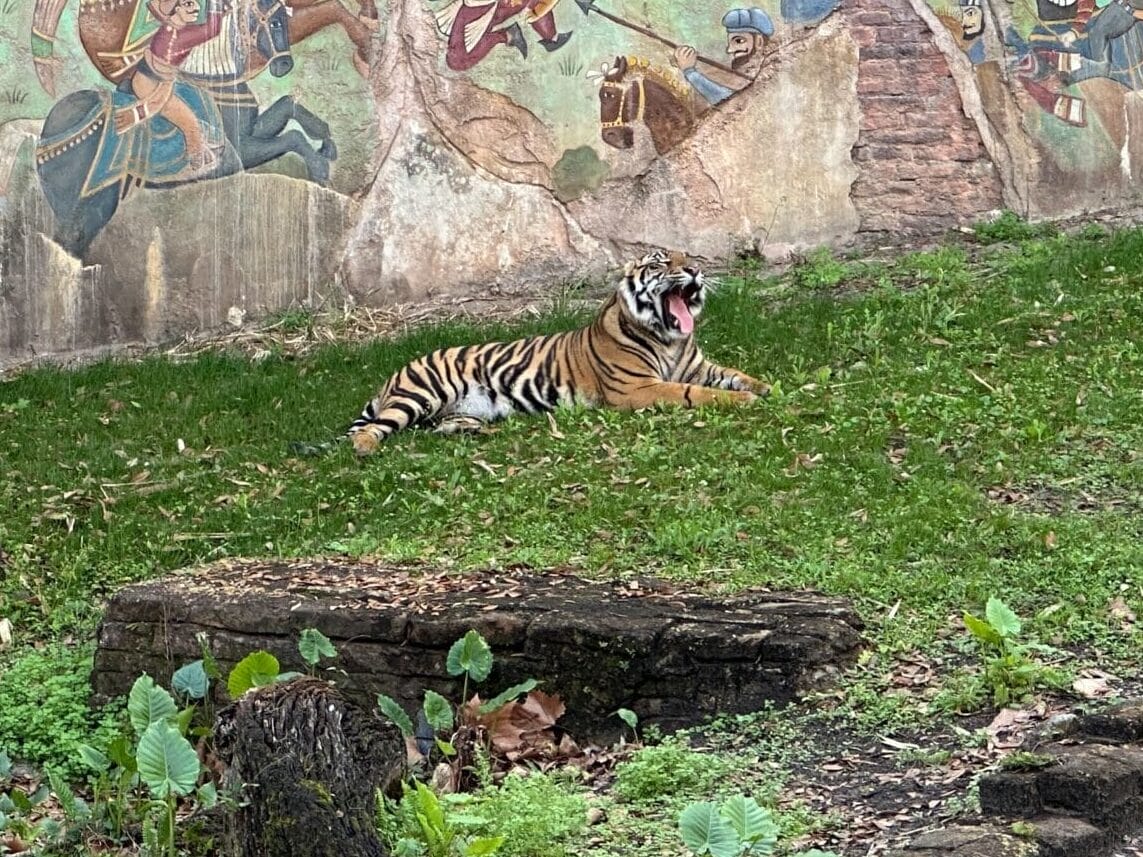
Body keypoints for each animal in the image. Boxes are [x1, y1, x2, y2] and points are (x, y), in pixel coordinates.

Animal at [345, 249, 769, 456]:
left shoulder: (697, 367)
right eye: (663, 263)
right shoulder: (638, 388)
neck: (669, 338)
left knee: (436, 427)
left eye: (688, 259)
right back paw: (365, 448)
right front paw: (745, 400)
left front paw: (764, 387)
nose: (696, 270)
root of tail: (394, 375)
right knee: (373, 427)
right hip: (420, 396)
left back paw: (477, 431)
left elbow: (732, 373)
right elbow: (696, 393)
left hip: (452, 409)